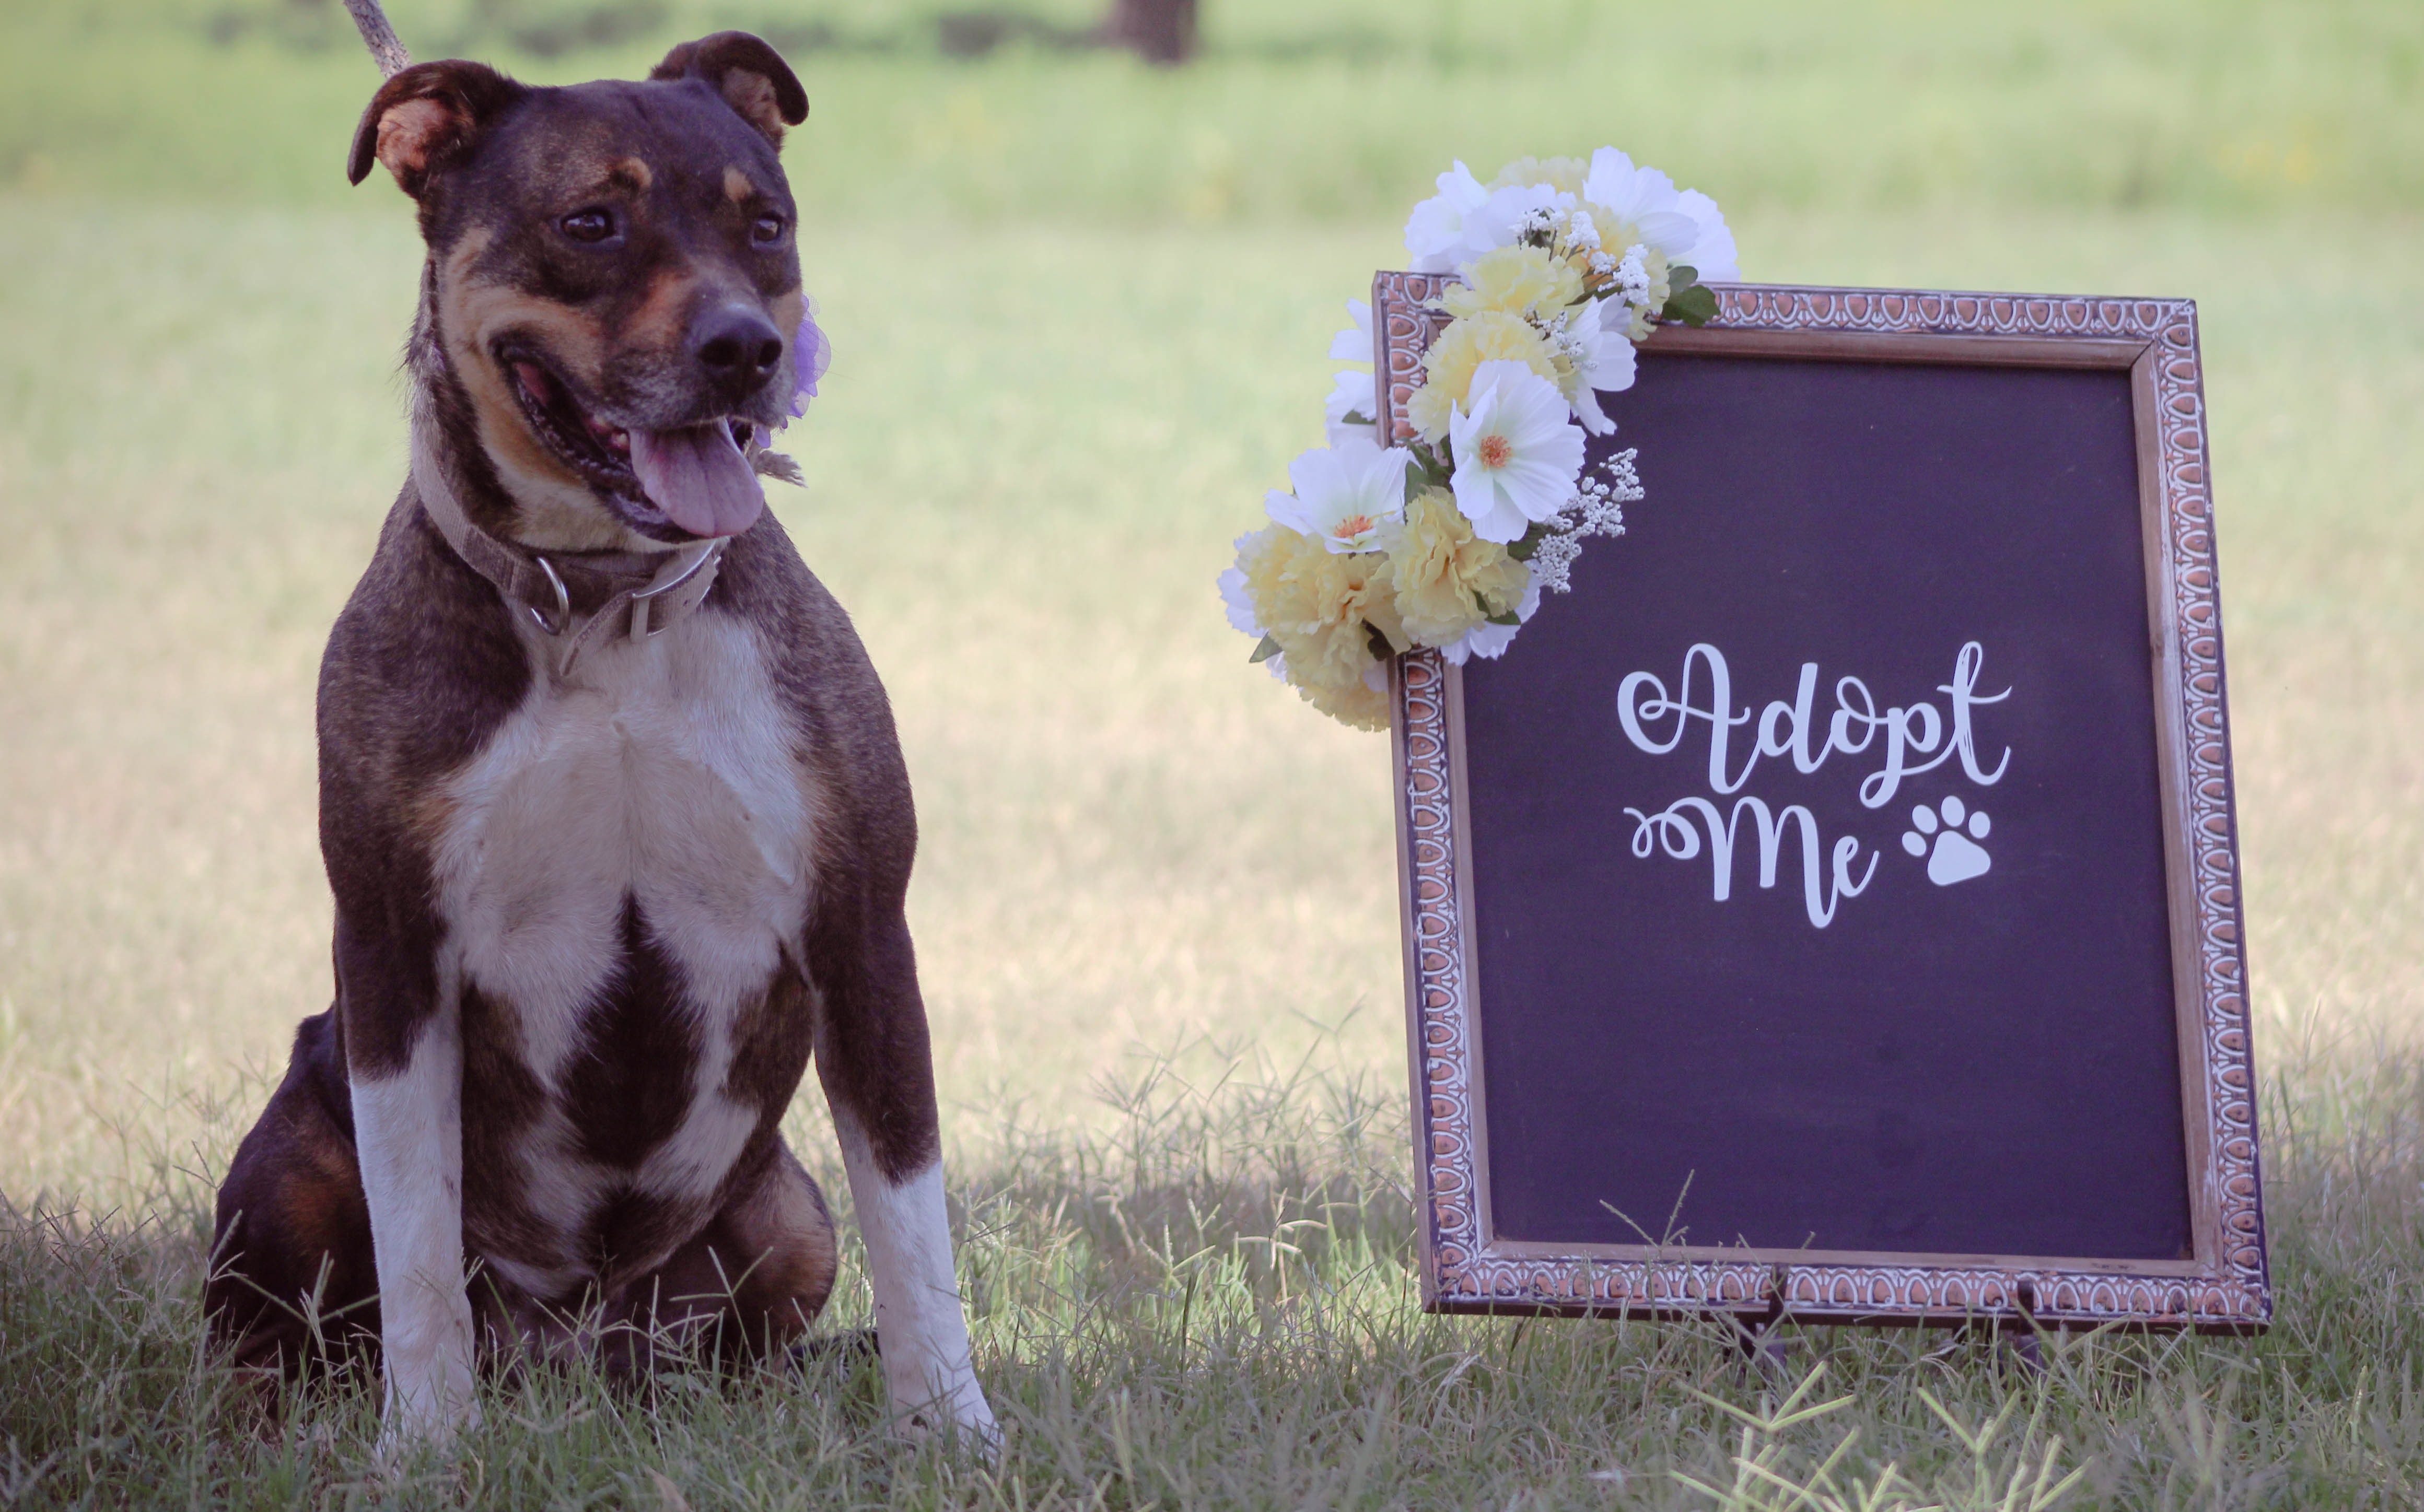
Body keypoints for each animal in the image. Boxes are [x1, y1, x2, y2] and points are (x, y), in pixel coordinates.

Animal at [206, 38, 994, 1454]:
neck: (602, 606)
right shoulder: (394, 952)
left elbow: (913, 1223)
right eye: (590, 224)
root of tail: (570, 1351)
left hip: (782, 1216)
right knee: (273, 1333)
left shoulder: (862, 929)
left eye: (764, 223)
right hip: (288, 1156)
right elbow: (414, 1240)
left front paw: (954, 1430)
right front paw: (426, 1445)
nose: (743, 348)